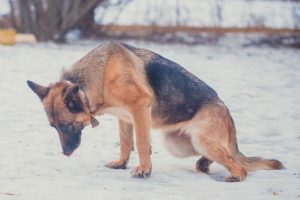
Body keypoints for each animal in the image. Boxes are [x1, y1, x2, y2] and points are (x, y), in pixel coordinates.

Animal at [27, 41, 282, 181]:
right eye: (53, 127)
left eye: (66, 125)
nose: (66, 152)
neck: (98, 75)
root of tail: (226, 110)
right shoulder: (125, 117)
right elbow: (126, 143)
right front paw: (122, 163)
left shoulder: (139, 108)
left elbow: (140, 143)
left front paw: (144, 170)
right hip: (179, 144)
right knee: (223, 155)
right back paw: (204, 164)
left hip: (200, 139)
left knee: (237, 164)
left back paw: (236, 175)